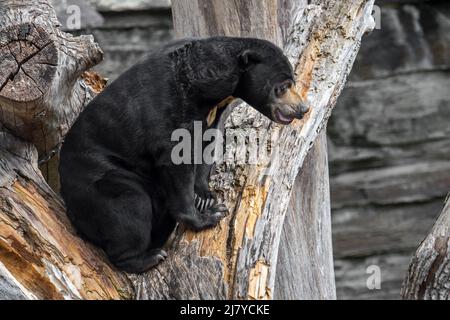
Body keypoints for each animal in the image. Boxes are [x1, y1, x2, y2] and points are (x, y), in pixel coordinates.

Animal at [59, 37, 310, 272]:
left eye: (292, 83)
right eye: (283, 86)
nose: (303, 109)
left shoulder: (209, 116)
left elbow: (206, 146)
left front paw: (205, 196)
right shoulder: (168, 108)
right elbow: (175, 159)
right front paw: (211, 215)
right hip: (102, 179)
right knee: (130, 207)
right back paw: (147, 258)